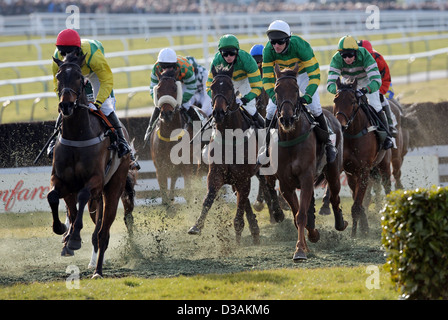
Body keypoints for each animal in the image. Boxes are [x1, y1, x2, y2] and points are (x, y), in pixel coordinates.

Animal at [49, 52, 134, 278]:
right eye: (59, 77)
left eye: (80, 78)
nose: (66, 106)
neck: (77, 135)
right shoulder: (61, 180)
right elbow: (53, 197)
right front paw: (62, 229)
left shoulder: (95, 181)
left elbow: (82, 196)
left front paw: (75, 239)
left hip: (113, 188)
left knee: (103, 233)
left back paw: (98, 270)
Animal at [148, 67, 199, 205]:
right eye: (159, 89)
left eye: (175, 88)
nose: (166, 113)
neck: (170, 135)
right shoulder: (160, 169)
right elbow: (164, 198)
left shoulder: (187, 166)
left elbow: (188, 192)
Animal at [272, 63, 348, 262]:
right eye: (276, 90)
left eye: (296, 89)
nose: (287, 119)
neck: (291, 138)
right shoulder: (285, 184)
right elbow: (298, 214)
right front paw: (308, 241)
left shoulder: (306, 178)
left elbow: (301, 216)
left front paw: (299, 249)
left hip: (333, 171)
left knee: (335, 196)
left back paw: (340, 222)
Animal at [330, 78, 390, 236]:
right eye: (335, 100)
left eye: (352, 101)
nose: (340, 125)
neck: (353, 134)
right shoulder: (350, 171)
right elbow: (357, 200)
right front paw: (362, 228)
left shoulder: (364, 169)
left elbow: (357, 205)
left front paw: (354, 234)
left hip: (384, 163)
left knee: (387, 185)